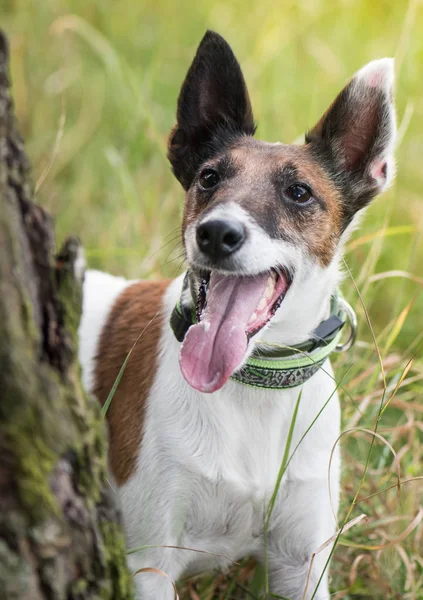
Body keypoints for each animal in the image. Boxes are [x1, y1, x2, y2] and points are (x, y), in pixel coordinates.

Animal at [78, 31, 396, 600]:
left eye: (299, 192)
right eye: (209, 178)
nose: (216, 233)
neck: (251, 388)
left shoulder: (303, 565)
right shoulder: (150, 563)